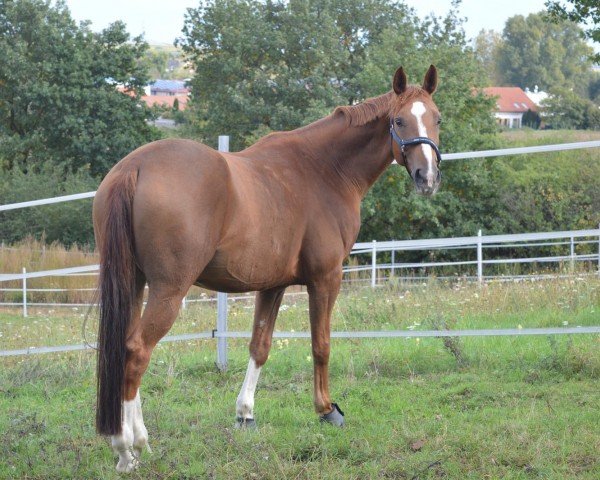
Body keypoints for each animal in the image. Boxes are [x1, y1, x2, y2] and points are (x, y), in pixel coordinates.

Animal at [92, 64, 440, 472]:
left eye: (436, 118)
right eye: (399, 120)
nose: (427, 177)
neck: (324, 169)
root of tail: (136, 167)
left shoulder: (273, 284)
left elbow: (260, 346)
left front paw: (245, 414)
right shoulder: (325, 278)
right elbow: (321, 344)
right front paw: (327, 410)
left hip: (133, 284)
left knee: (123, 349)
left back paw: (135, 443)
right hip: (168, 290)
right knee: (136, 351)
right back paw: (128, 447)